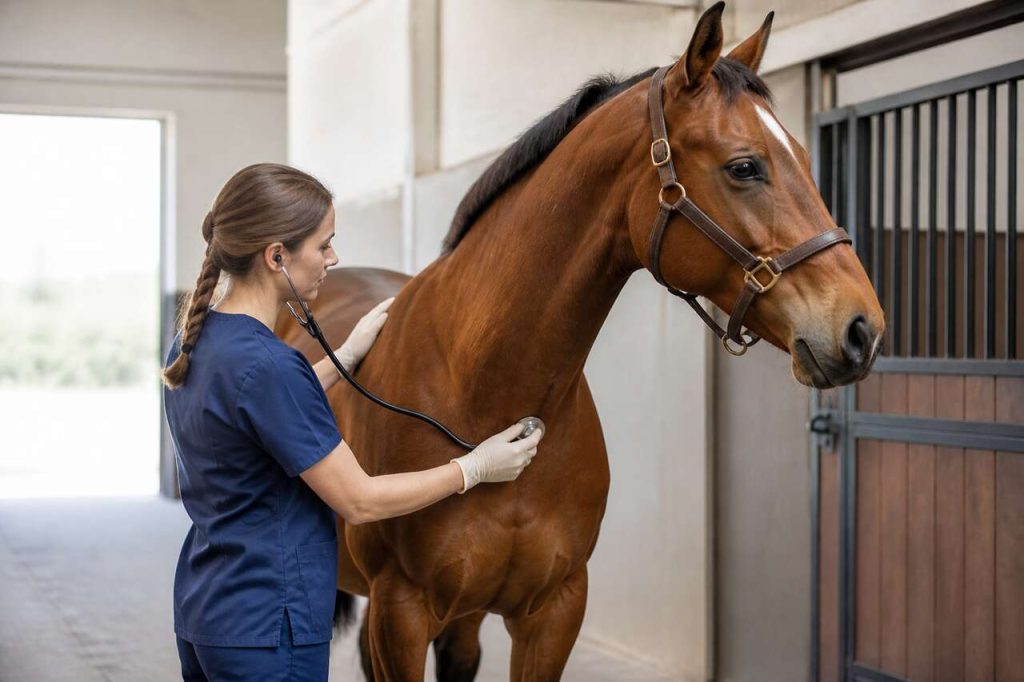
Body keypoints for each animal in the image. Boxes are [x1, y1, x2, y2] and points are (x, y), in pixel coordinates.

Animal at [276, 3, 884, 679]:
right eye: (744, 167)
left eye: (802, 156)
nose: (862, 329)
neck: (485, 388)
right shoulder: (400, 613)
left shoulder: (555, 610)